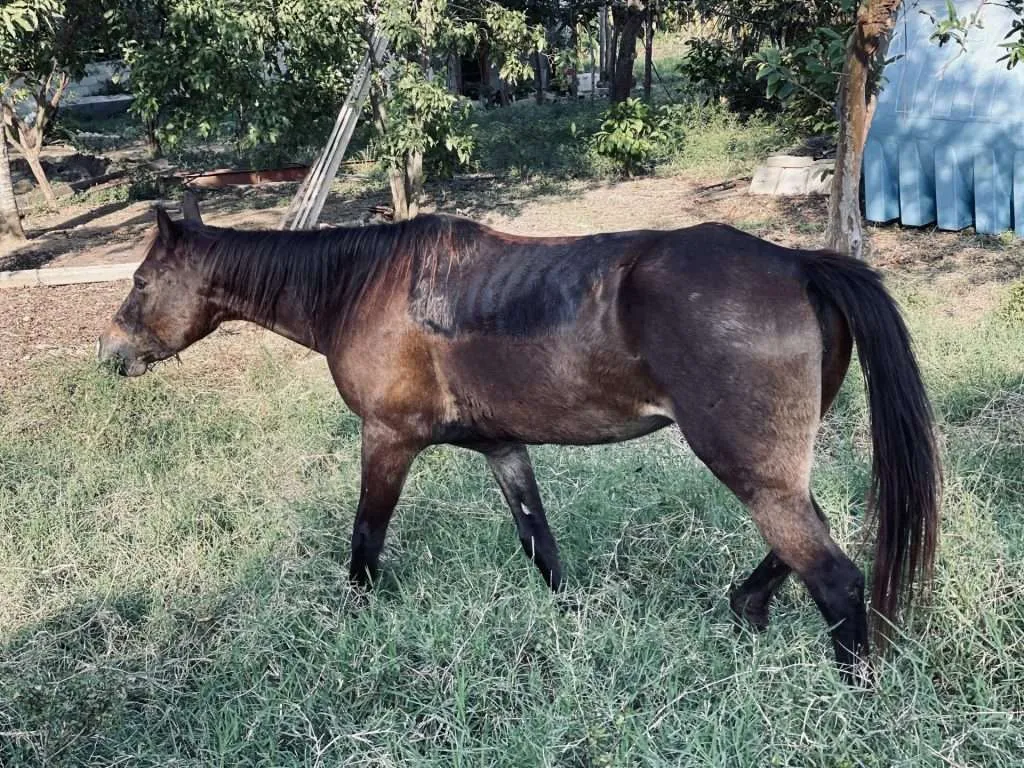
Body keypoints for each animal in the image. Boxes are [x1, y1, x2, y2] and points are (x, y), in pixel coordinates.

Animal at [97, 198, 940, 684]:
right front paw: (572, 625)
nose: (110, 355)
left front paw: (353, 623)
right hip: (774, 467)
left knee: (834, 577)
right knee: (805, 542)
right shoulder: (503, 449)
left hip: (749, 466)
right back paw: (746, 607)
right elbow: (542, 546)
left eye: (139, 283)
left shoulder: (387, 441)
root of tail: (797, 264)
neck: (364, 286)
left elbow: (366, 541)